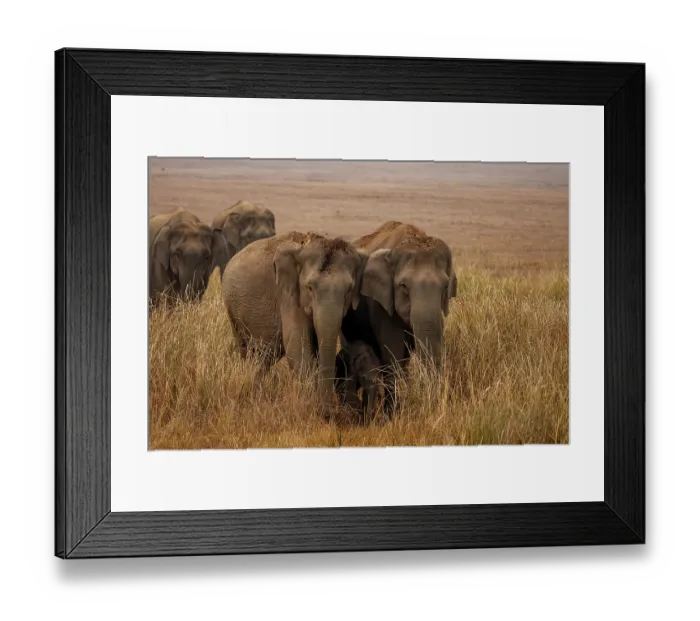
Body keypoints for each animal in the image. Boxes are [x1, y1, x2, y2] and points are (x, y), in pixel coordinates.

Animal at [221, 231, 369, 406]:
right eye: (309, 287)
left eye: (349, 290)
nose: (328, 410)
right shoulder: (288, 293)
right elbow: (297, 349)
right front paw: (313, 405)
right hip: (232, 308)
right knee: (248, 351)